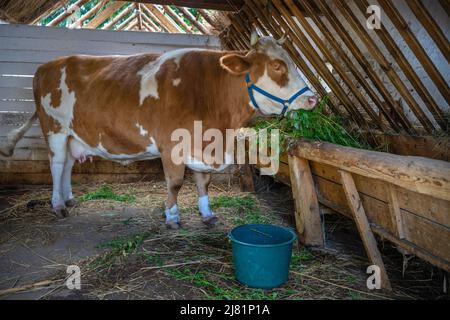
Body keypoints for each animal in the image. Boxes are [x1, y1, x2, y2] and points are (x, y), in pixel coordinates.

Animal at [0, 32, 316, 229]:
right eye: (277, 65)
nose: (312, 98)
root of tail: (47, 66)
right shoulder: (173, 145)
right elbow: (175, 183)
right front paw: (172, 216)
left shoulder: (202, 145)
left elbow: (203, 182)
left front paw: (208, 215)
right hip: (54, 128)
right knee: (56, 165)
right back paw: (57, 205)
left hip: (72, 135)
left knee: (67, 166)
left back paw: (68, 198)